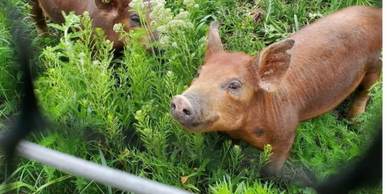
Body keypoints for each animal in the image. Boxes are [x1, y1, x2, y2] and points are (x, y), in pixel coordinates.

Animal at [169, 6, 384, 175]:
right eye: (199, 73)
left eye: (234, 85)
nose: (180, 100)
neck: (247, 129)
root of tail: (378, 12)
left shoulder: (286, 135)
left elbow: (272, 169)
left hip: (376, 63)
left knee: (366, 91)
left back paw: (353, 122)